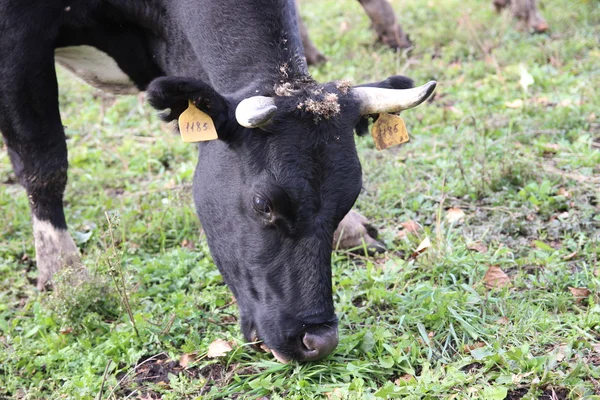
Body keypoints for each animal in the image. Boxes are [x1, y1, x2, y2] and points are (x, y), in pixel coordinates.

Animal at [2, 0, 438, 362]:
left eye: (349, 198)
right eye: (264, 204)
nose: (319, 341)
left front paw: (351, 229)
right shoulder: (18, 38)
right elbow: (44, 160)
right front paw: (65, 276)